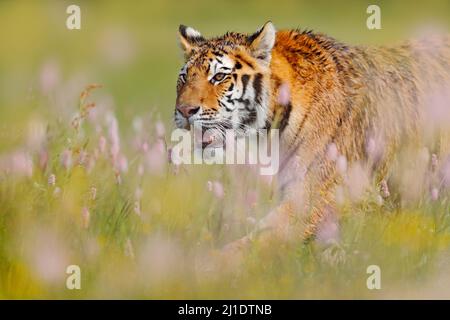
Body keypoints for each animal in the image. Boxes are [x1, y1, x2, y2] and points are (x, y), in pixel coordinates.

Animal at [174, 21, 450, 258]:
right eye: (184, 77)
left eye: (219, 77)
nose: (184, 111)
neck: (270, 133)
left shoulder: (313, 197)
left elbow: (257, 240)